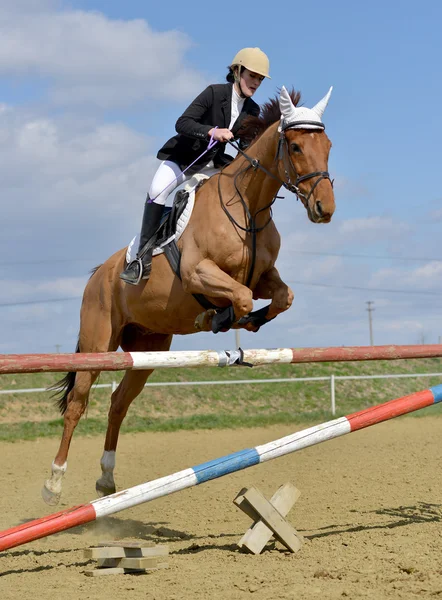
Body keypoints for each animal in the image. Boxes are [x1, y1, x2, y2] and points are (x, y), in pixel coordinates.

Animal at [43, 85, 336, 506]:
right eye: (295, 146)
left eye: (327, 145)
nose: (324, 208)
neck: (247, 205)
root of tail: (98, 274)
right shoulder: (199, 272)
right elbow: (240, 296)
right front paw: (216, 317)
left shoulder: (264, 277)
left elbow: (281, 297)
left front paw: (247, 322)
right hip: (100, 341)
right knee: (77, 404)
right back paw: (54, 483)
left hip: (147, 350)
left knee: (118, 404)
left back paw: (107, 480)